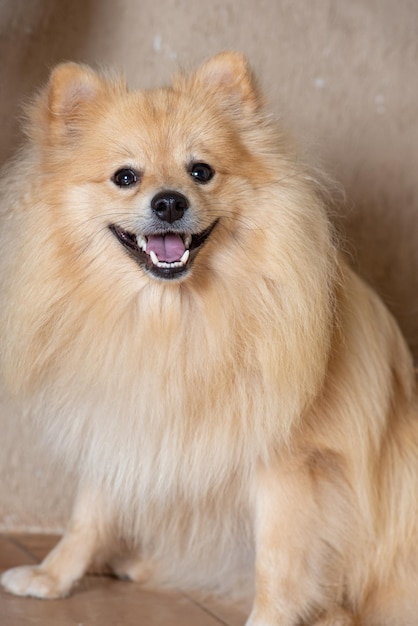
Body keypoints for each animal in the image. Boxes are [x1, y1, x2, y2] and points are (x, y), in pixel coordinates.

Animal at [0, 51, 418, 620]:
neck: (176, 316)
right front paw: (54, 575)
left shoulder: (291, 464)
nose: (170, 202)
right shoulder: (120, 419)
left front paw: (269, 619)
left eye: (201, 171)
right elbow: (87, 513)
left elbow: (278, 561)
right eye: (125, 177)